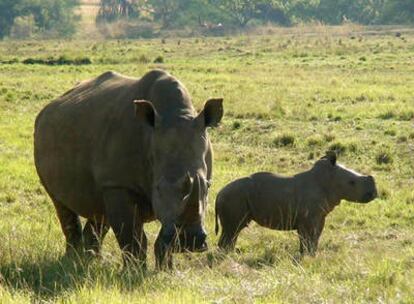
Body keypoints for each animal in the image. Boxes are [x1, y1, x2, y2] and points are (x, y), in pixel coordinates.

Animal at [34, 69, 223, 268]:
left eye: (208, 186)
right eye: (158, 188)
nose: (190, 241)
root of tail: (47, 108)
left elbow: (161, 237)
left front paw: (166, 270)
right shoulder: (119, 183)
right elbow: (132, 237)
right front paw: (135, 272)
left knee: (99, 209)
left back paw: (90, 259)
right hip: (45, 136)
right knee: (61, 204)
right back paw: (73, 260)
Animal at [215, 153, 376, 255]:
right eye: (352, 182)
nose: (374, 193)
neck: (328, 180)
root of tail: (218, 194)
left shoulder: (318, 217)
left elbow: (314, 238)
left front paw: (310, 255)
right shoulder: (308, 219)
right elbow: (308, 238)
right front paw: (307, 256)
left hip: (235, 197)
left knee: (234, 231)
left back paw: (231, 254)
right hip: (232, 197)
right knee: (233, 229)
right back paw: (228, 256)